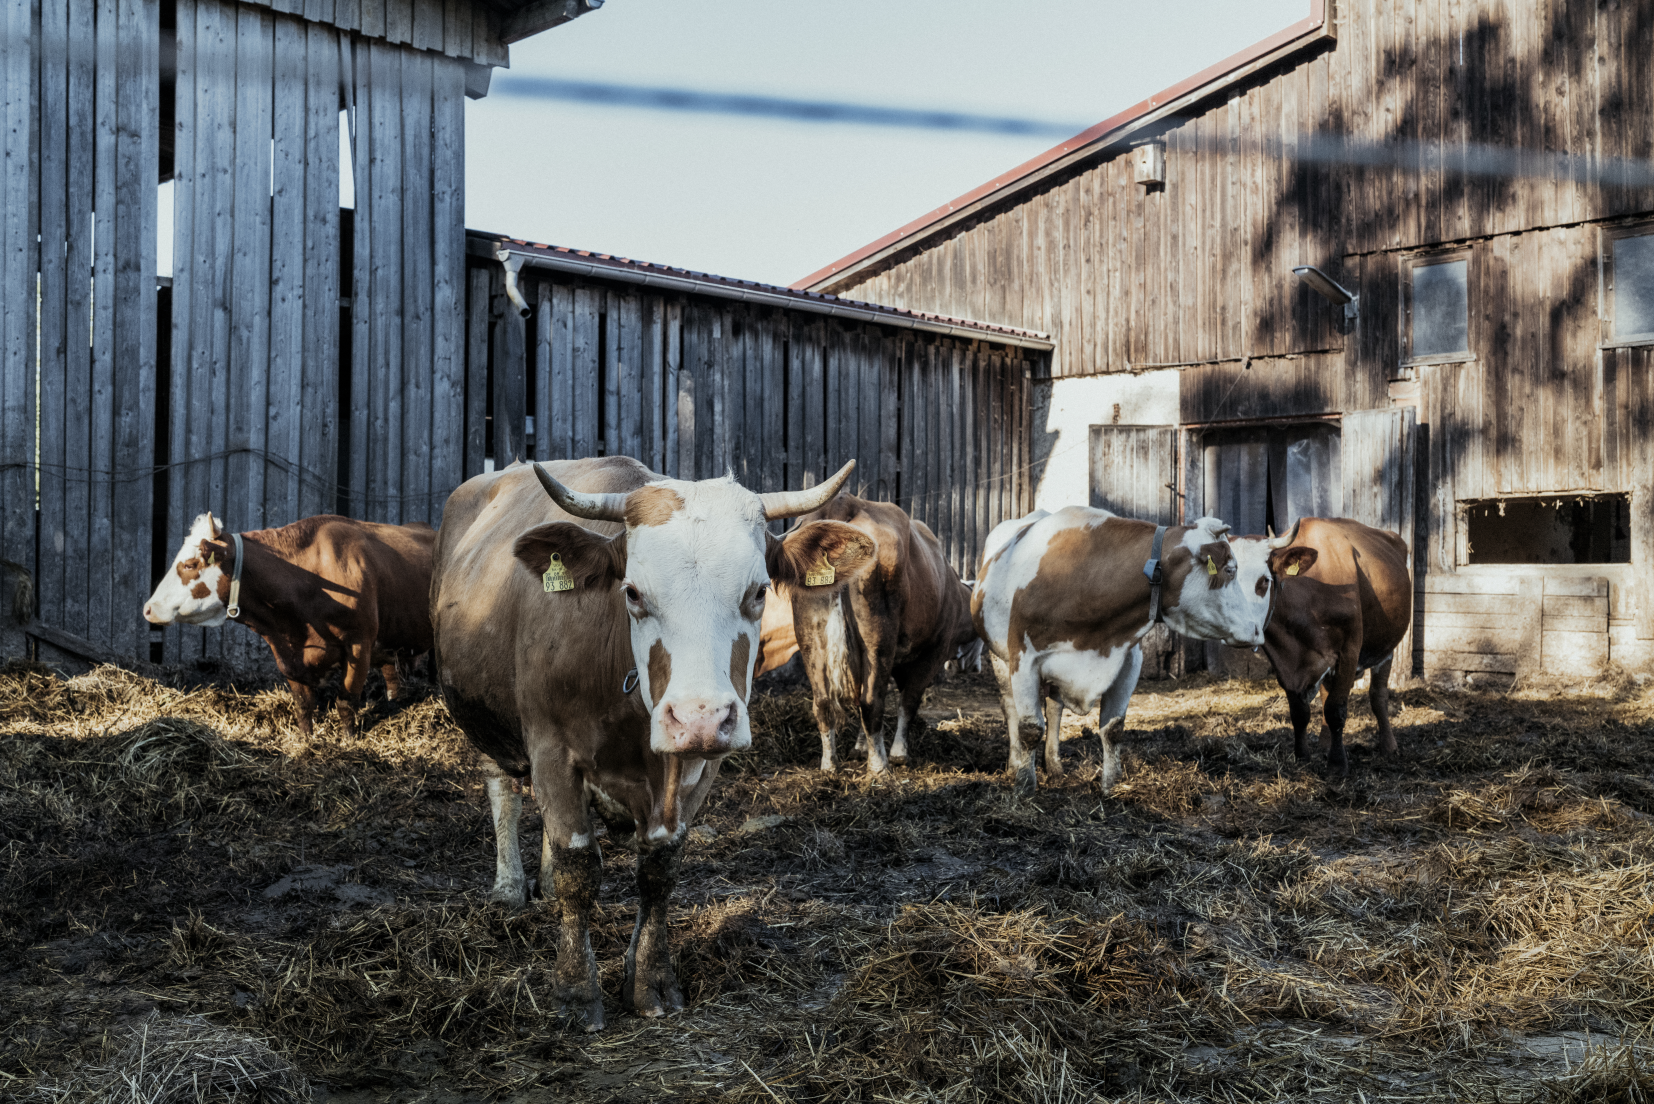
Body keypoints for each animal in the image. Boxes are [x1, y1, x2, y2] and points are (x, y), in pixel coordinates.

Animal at [143, 513, 436, 738]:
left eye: (190, 564)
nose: (148, 608)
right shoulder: (286, 653)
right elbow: (303, 706)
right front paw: (305, 742)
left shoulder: (359, 644)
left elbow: (346, 701)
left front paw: (348, 740)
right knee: (392, 676)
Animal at [430, 453, 879, 1032]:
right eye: (633, 592)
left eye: (759, 591)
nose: (699, 718)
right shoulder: (551, 750)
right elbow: (578, 866)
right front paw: (576, 990)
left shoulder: (695, 771)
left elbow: (659, 869)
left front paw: (649, 980)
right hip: (481, 716)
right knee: (502, 790)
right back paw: (509, 888)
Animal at [777, 496, 979, 774]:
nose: (974, 668)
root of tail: (846, 502)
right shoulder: (932, 652)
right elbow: (909, 701)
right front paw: (898, 754)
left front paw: (860, 748)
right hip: (878, 639)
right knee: (872, 701)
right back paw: (879, 766)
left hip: (811, 639)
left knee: (823, 702)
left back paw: (829, 765)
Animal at [965, 506, 1276, 797]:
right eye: (1230, 570)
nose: (1256, 630)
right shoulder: (1024, 658)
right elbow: (1029, 728)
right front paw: (1025, 786)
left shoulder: (1127, 659)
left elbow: (1113, 728)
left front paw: (1111, 784)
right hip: (999, 657)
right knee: (1010, 707)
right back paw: (1014, 764)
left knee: (1054, 708)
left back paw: (1053, 765)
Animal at [1237, 519, 1415, 777]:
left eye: (1264, 580)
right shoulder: (1284, 665)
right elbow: (1300, 712)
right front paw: (1302, 756)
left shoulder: (1349, 651)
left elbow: (1336, 709)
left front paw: (1337, 764)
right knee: (1325, 696)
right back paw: (1324, 744)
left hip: (1386, 648)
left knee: (1378, 695)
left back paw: (1388, 746)